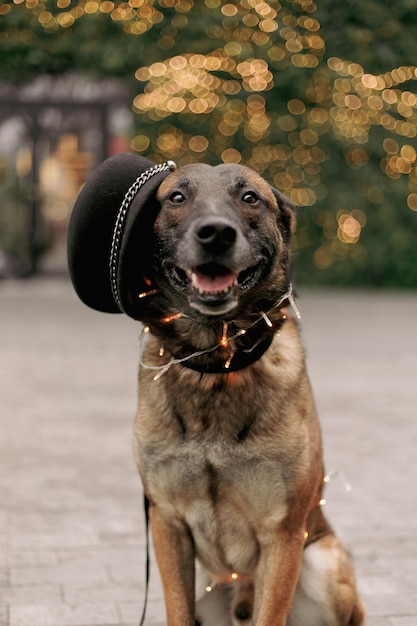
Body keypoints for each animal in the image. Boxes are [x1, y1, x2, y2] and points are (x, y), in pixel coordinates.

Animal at [127, 162, 364, 624]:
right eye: (177, 197)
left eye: (249, 198)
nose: (216, 233)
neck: (217, 365)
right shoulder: (167, 523)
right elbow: (177, 610)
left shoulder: (284, 533)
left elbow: (270, 613)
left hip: (323, 559)